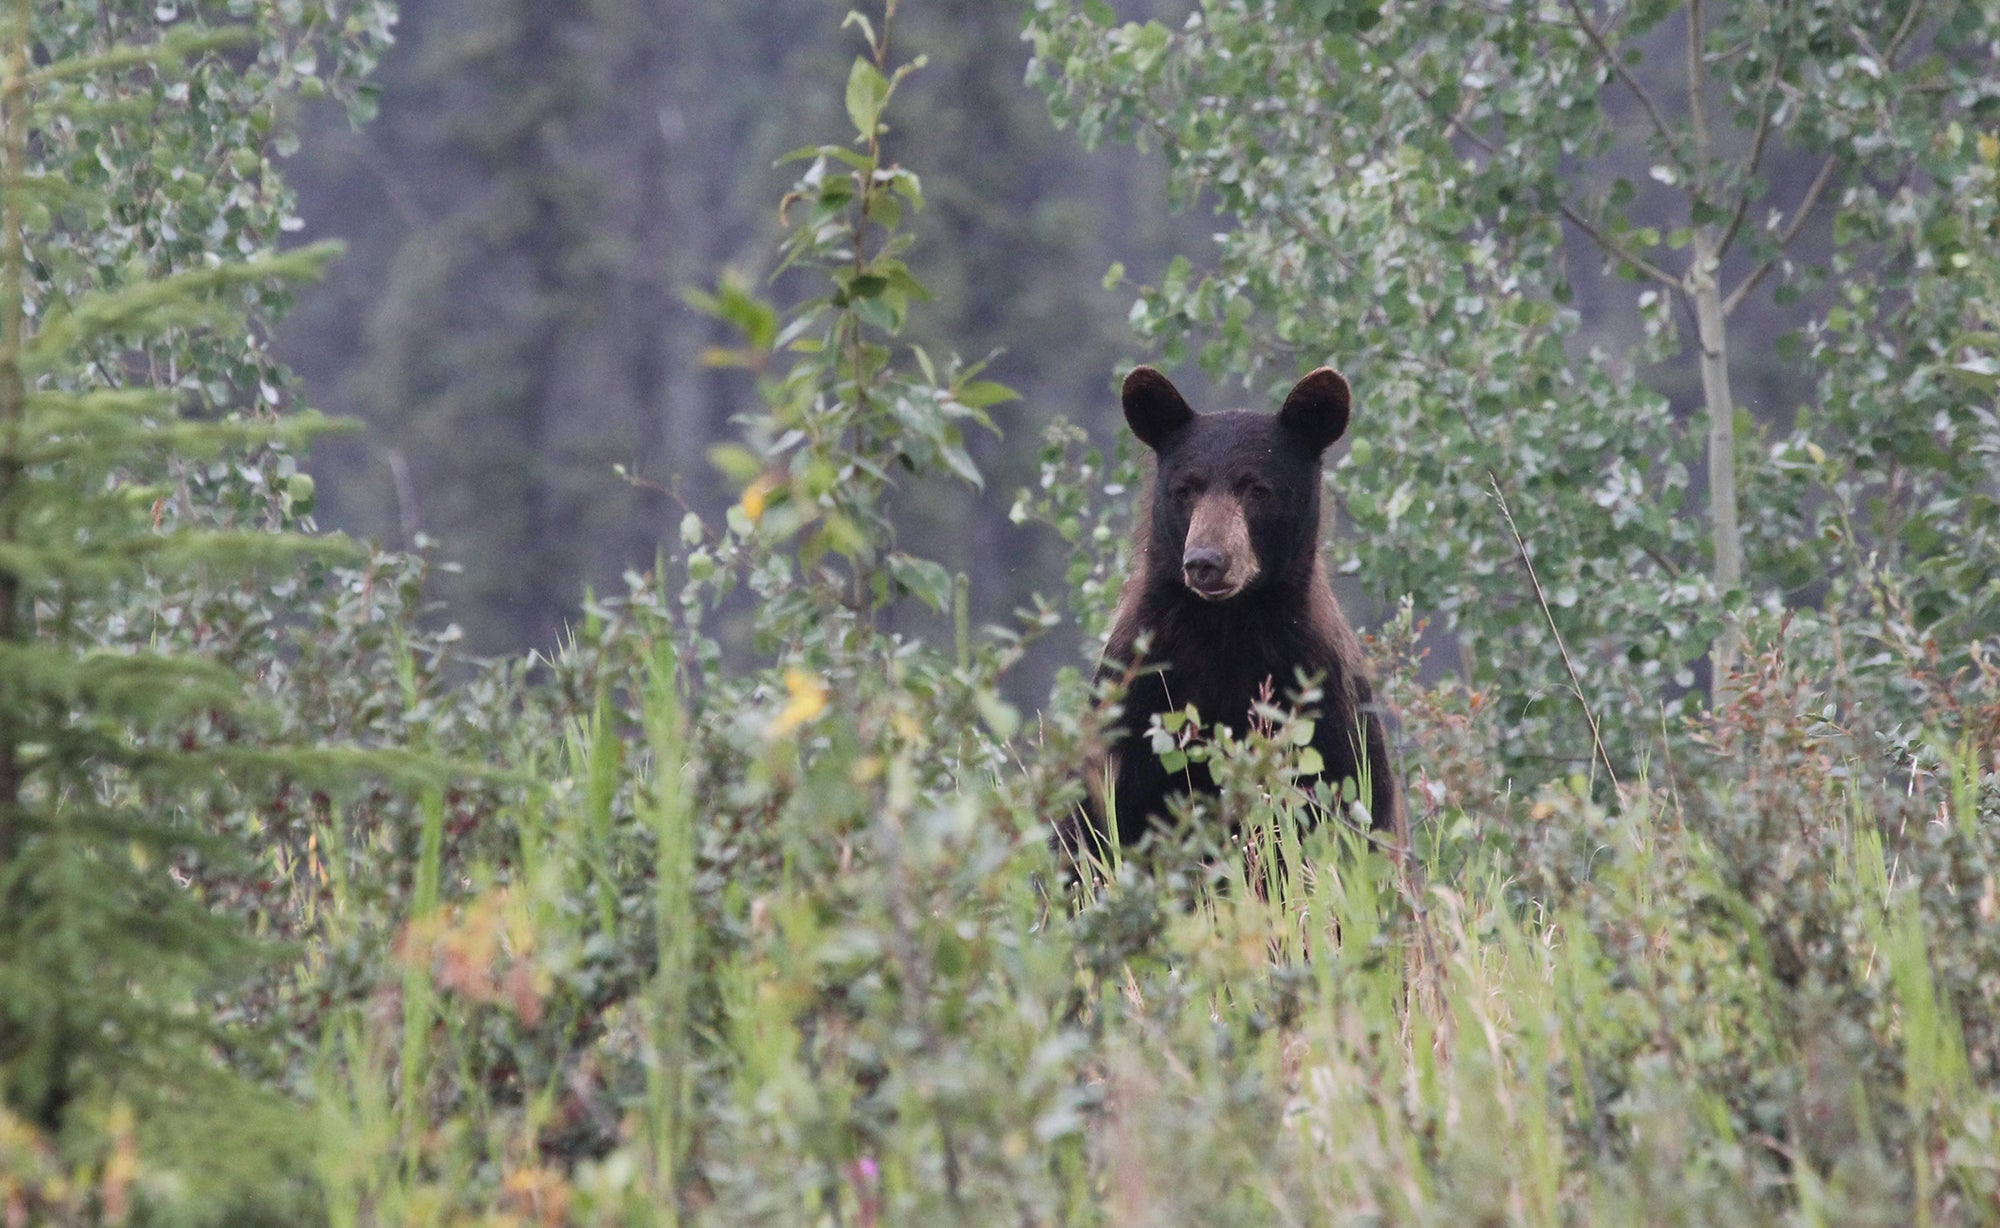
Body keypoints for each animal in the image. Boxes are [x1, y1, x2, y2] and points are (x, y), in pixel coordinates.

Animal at [1080, 364, 1399, 855]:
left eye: (1256, 489)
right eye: (1185, 488)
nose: (1205, 561)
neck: (1226, 629)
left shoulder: (1319, 697)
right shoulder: (1137, 695)